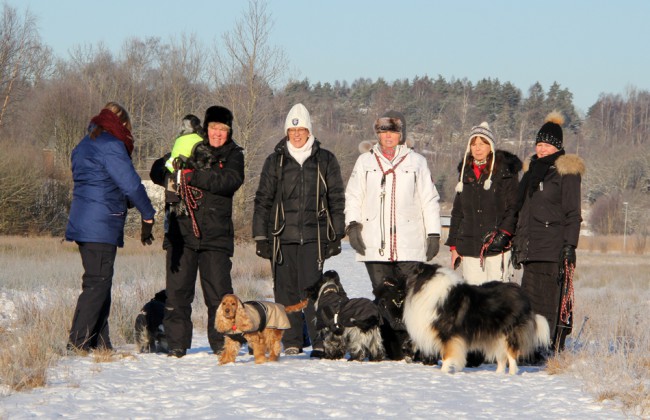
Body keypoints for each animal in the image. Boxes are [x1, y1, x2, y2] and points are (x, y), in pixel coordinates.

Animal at [400, 262, 548, 374]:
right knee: (502, 358)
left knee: (511, 356)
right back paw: (498, 375)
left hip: (509, 333)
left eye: (413, 270)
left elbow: (447, 355)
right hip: (497, 336)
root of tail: (524, 297)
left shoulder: (448, 335)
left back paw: (511, 375)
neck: (427, 283)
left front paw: (443, 372)